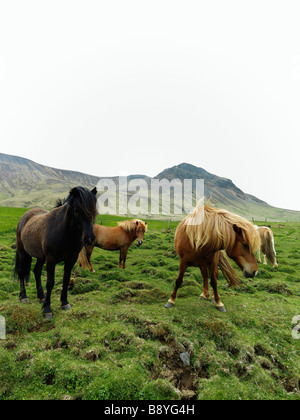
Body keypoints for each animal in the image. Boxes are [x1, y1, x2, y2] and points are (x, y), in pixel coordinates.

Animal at [14, 187, 97, 318]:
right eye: (77, 210)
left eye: (94, 211)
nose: (89, 238)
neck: (65, 232)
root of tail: (25, 216)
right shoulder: (51, 260)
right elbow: (50, 283)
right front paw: (47, 309)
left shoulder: (71, 260)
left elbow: (66, 279)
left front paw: (64, 303)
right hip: (23, 252)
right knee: (22, 272)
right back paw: (24, 296)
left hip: (41, 256)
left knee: (37, 271)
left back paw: (41, 296)